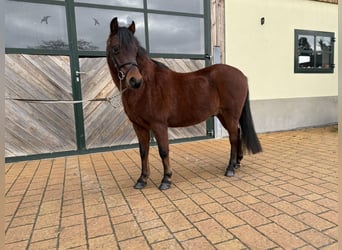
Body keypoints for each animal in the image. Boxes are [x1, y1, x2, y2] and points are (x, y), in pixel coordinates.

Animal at [107, 17, 262, 189]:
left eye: (135, 51)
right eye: (115, 48)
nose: (135, 81)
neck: (147, 86)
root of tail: (242, 75)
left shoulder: (159, 125)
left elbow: (163, 151)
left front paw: (166, 180)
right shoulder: (139, 126)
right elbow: (143, 152)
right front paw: (142, 179)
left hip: (230, 115)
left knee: (233, 137)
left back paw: (230, 169)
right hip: (223, 115)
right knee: (237, 133)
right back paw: (236, 163)